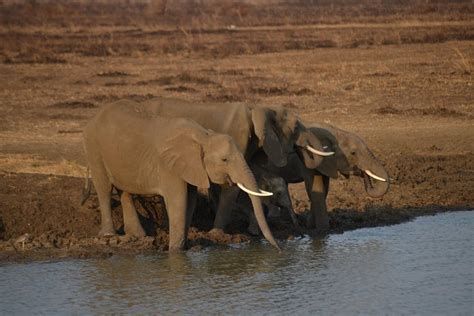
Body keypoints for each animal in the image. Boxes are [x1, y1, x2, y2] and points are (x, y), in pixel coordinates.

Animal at [82, 100, 282, 251]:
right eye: (224, 160)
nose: (279, 249)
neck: (203, 136)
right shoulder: (169, 167)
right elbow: (178, 201)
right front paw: (175, 252)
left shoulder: (192, 168)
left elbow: (190, 201)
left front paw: (184, 248)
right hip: (93, 146)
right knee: (104, 187)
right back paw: (109, 235)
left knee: (125, 190)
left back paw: (137, 235)